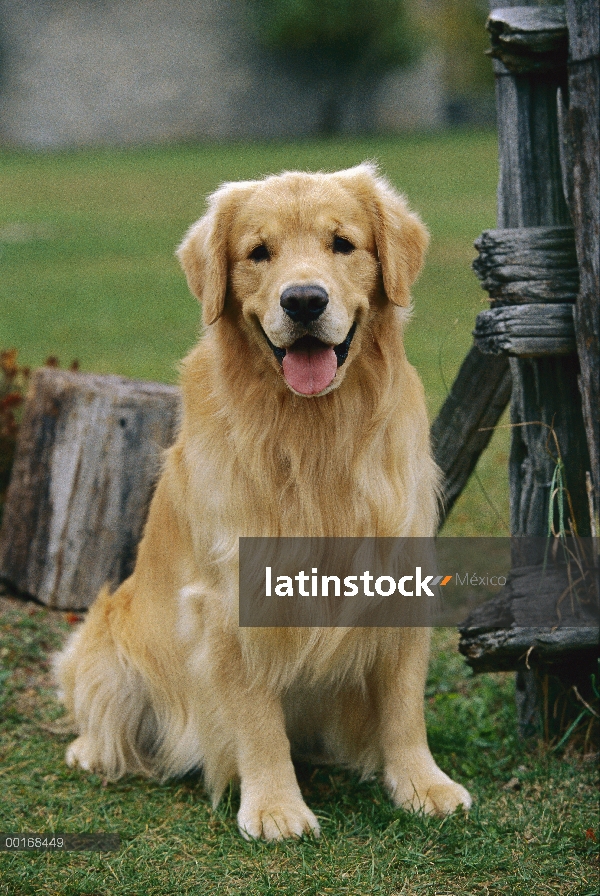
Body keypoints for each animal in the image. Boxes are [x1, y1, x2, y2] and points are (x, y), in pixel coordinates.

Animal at [54, 163, 472, 840]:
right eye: (258, 252)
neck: (313, 432)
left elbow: (404, 705)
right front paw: (276, 805)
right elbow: (256, 719)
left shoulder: (400, 578)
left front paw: (421, 783)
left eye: (342, 243)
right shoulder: (230, 601)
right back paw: (95, 752)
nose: (303, 300)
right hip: (106, 641)